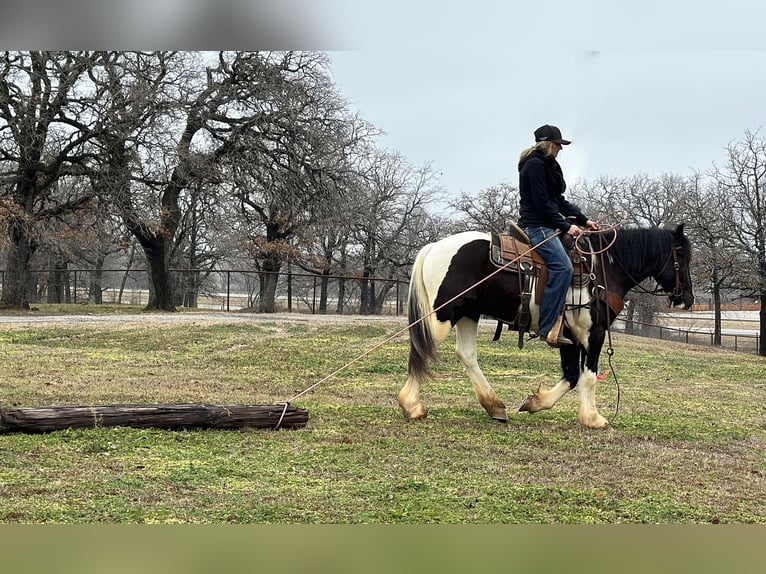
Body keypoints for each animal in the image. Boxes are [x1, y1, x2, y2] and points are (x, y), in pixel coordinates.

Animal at [402, 224, 696, 428]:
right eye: (682, 256)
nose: (688, 298)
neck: (604, 270)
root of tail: (434, 247)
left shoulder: (571, 338)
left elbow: (572, 376)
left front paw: (535, 403)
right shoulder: (593, 333)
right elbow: (588, 376)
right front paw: (593, 419)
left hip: (468, 315)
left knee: (466, 354)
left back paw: (494, 406)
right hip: (443, 316)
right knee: (422, 349)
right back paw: (412, 405)